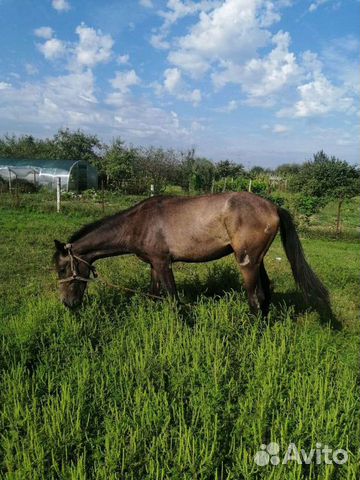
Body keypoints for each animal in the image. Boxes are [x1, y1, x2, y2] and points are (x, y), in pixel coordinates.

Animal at [52, 191, 330, 316]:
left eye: (63, 268)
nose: (68, 304)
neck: (138, 222)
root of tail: (273, 206)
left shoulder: (164, 264)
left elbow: (174, 300)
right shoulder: (154, 264)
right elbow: (154, 296)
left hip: (247, 262)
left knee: (256, 297)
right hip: (257, 260)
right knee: (267, 291)